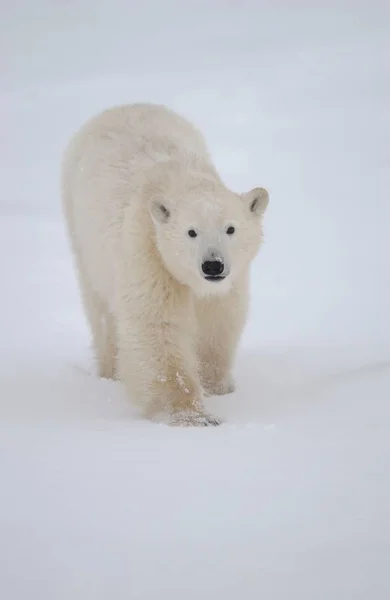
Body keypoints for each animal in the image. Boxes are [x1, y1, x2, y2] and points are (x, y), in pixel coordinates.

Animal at [61, 105, 268, 426]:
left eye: (230, 228)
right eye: (191, 232)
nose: (212, 265)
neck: (179, 179)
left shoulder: (230, 282)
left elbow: (217, 322)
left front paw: (215, 387)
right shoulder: (149, 251)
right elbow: (157, 326)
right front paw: (194, 415)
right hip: (82, 234)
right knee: (101, 309)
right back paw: (110, 370)